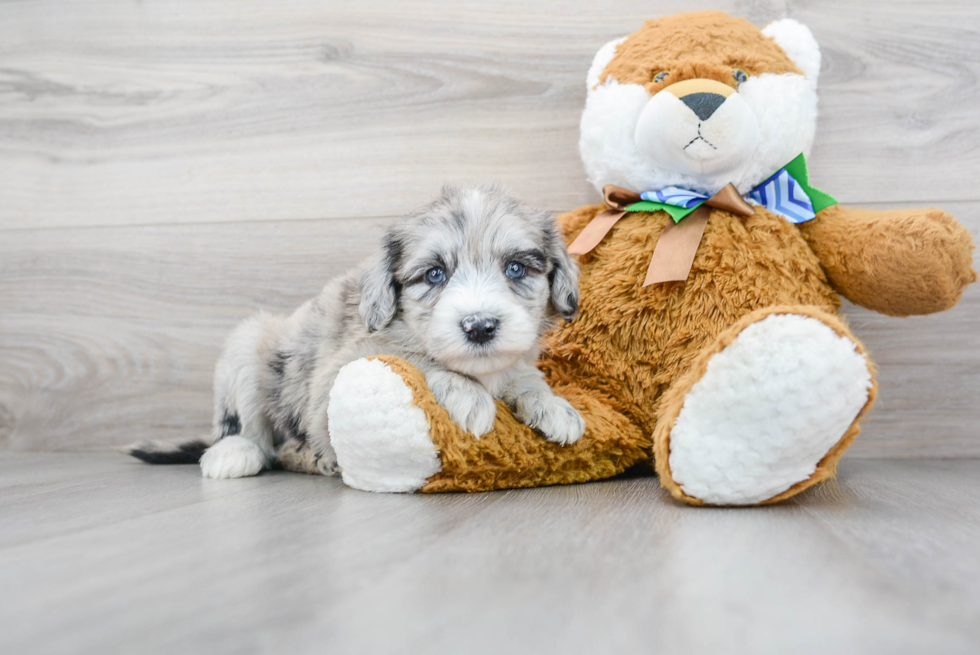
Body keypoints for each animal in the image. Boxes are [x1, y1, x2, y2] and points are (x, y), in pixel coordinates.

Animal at [133, 183, 584, 476]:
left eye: (516, 268)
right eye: (434, 274)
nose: (480, 326)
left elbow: (524, 376)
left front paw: (551, 405)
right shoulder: (341, 371)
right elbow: (416, 360)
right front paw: (468, 395)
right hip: (248, 344)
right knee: (248, 431)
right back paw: (236, 455)